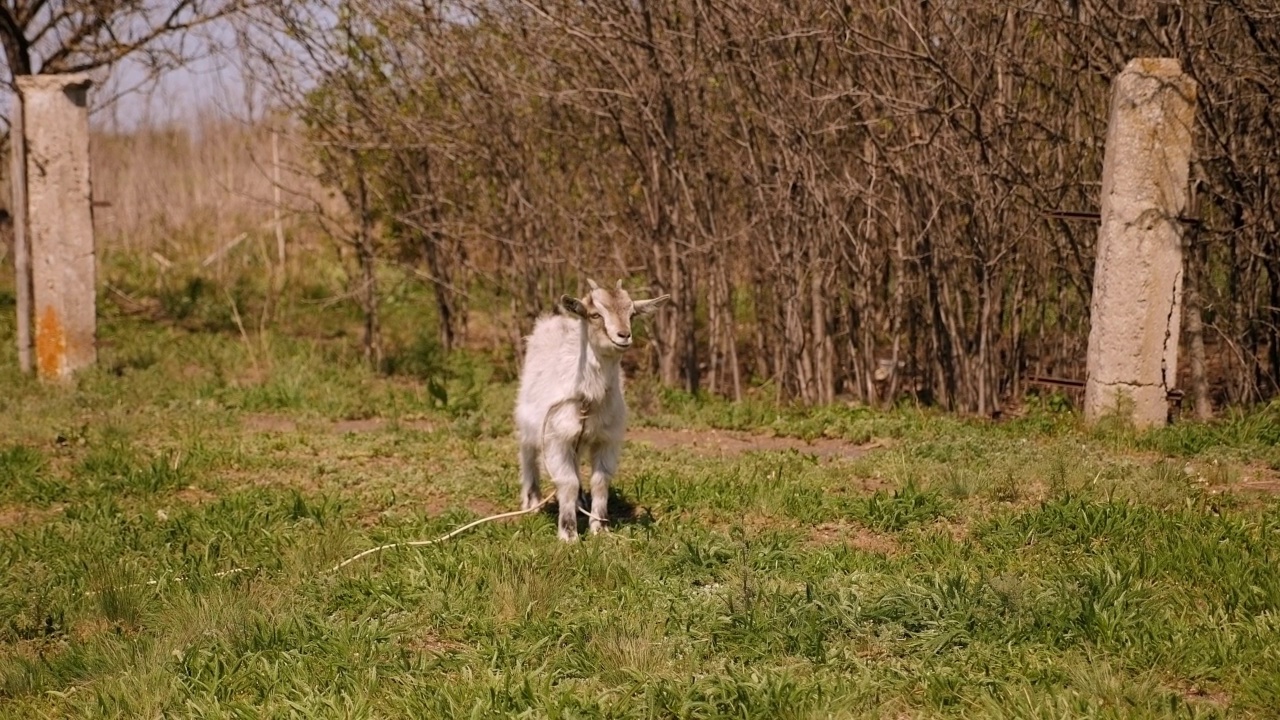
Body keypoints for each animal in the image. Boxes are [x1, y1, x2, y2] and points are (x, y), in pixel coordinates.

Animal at [512, 278, 670, 535]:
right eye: (595, 315)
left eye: (632, 314)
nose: (624, 335)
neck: (589, 397)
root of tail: (556, 320)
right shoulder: (556, 438)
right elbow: (566, 481)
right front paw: (568, 533)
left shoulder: (607, 439)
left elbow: (599, 481)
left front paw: (600, 528)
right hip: (528, 418)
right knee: (527, 453)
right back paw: (532, 501)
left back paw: (578, 502)